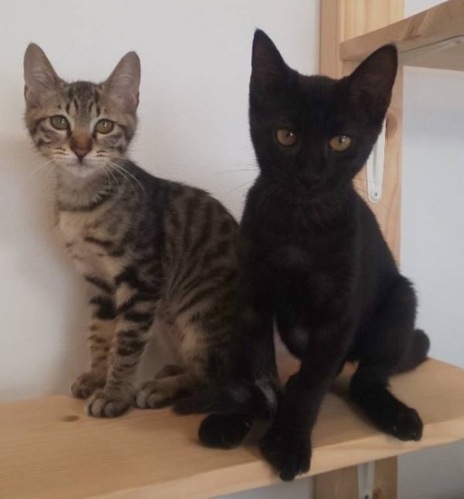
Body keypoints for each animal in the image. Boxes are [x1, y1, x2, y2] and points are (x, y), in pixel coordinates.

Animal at [23, 43, 241, 418]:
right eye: (59, 121)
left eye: (105, 125)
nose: (81, 149)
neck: (83, 204)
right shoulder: (97, 280)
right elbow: (100, 333)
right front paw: (97, 375)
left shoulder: (141, 280)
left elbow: (126, 343)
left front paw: (114, 393)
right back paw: (171, 371)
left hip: (200, 312)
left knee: (211, 376)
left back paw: (162, 387)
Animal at [177, 30, 430, 481]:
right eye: (286, 136)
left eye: (341, 141)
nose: (310, 175)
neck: (299, 225)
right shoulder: (252, 296)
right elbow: (249, 362)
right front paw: (234, 417)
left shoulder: (338, 315)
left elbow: (313, 382)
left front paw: (288, 440)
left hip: (400, 303)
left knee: (367, 378)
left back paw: (394, 414)